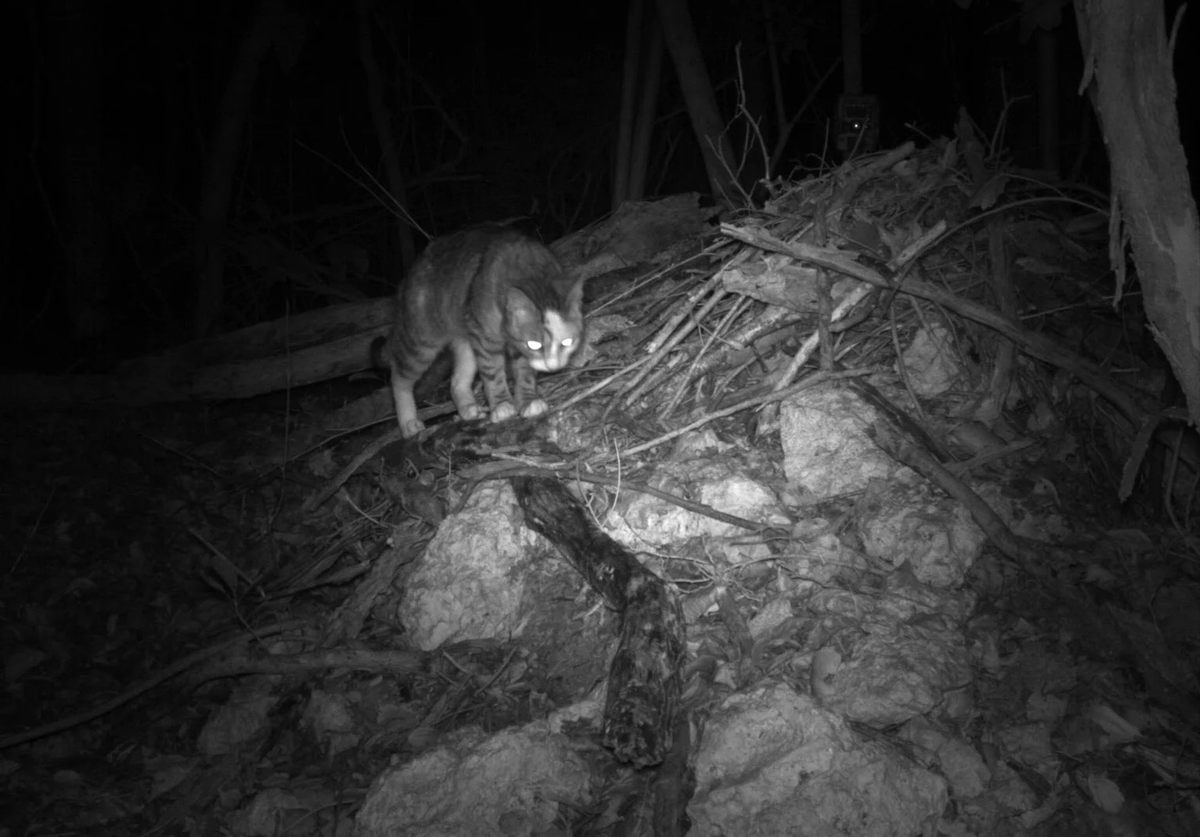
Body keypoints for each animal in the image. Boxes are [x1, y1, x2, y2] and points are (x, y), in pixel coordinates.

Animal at [381, 225, 583, 441]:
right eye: (535, 344)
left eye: (567, 342)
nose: (553, 367)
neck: (531, 270)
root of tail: (409, 275)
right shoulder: (487, 339)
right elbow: (493, 374)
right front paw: (502, 405)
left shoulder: (511, 345)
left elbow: (525, 373)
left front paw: (528, 401)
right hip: (421, 342)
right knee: (398, 377)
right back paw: (408, 422)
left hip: (465, 340)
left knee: (456, 381)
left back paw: (469, 410)